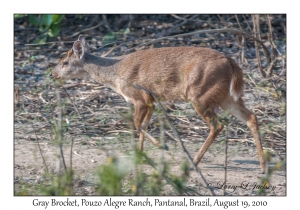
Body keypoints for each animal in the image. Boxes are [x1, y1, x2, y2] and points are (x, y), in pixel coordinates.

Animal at [51, 34, 264, 172]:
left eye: (64, 62)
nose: (52, 74)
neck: (116, 74)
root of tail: (231, 62)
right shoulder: (152, 100)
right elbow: (143, 125)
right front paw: (140, 155)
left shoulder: (140, 96)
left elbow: (137, 124)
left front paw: (162, 146)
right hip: (226, 96)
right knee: (251, 117)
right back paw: (263, 166)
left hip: (199, 94)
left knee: (217, 124)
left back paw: (194, 161)